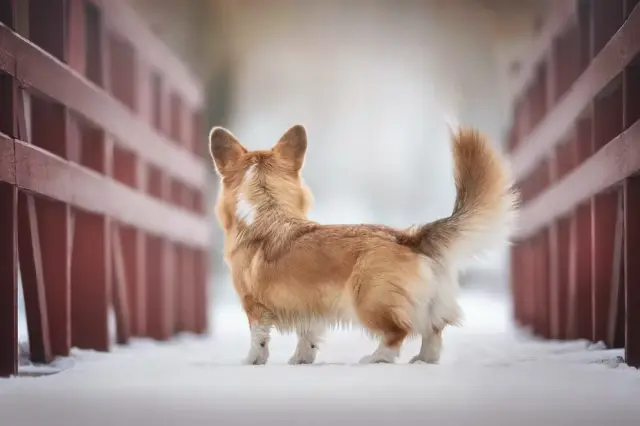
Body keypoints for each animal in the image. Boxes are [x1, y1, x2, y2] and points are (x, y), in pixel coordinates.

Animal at [208, 124, 516, 366]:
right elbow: (307, 337)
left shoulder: (254, 306)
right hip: (426, 305)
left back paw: (376, 357)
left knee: (398, 333)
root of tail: (411, 237)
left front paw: (251, 361)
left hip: (369, 301)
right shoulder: (310, 306)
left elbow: (258, 339)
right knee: (433, 331)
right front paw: (300, 360)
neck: (265, 211)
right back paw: (423, 359)